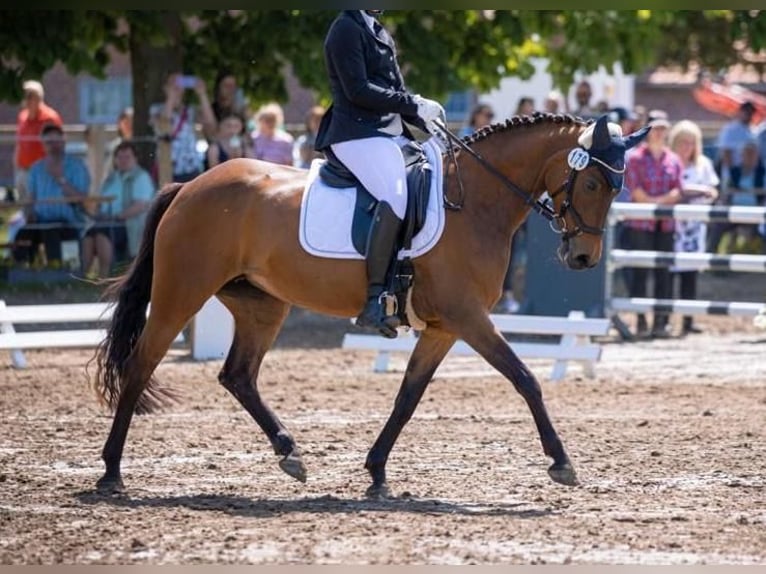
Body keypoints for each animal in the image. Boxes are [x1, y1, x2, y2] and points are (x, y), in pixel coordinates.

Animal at [93, 113, 652, 500]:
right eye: (593, 182)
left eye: (617, 186)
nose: (582, 258)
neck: (476, 200)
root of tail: (190, 184)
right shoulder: (469, 317)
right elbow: (526, 378)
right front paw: (561, 462)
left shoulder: (445, 327)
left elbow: (408, 397)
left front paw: (377, 471)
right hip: (181, 292)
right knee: (142, 365)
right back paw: (112, 472)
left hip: (262, 305)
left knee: (238, 375)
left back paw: (290, 453)